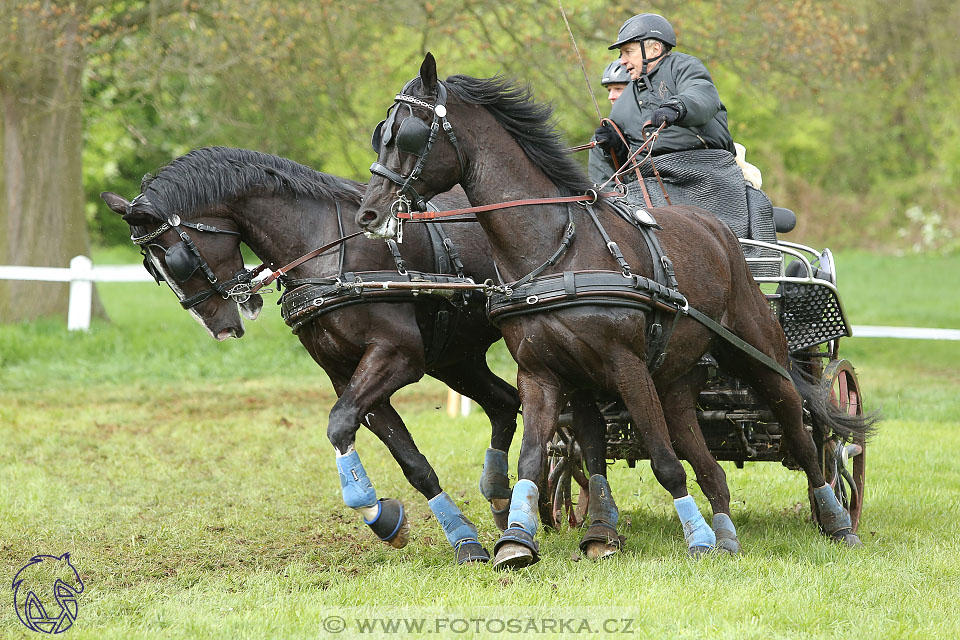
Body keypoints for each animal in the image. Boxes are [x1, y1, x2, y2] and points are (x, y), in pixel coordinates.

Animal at [100, 148, 520, 564]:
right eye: (153, 270)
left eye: (175, 260)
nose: (219, 328)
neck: (327, 249)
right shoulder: (346, 374)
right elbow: (408, 460)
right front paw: (432, 530)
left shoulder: (397, 356)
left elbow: (338, 424)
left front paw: (372, 507)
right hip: (456, 360)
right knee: (504, 403)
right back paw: (502, 498)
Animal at [356, 53, 872, 564]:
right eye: (381, 131)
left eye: (408, 132)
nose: (369, 213)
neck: (557, 250)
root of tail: (719, 232)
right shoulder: (541, 374)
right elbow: (535, 456)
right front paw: (517, 539)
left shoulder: (626, 367)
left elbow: (665, 464)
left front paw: (694, 539)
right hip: (677, 379)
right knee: (706, 456)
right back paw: (725, 534)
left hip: (760, 357)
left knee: (804, 435)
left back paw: (836, 519)